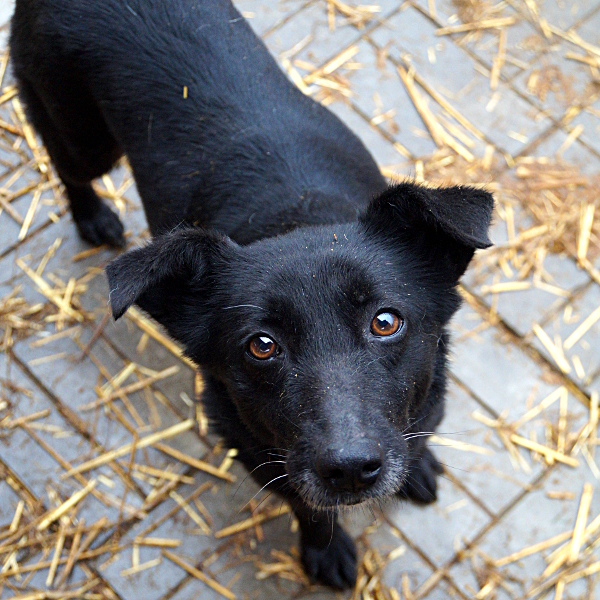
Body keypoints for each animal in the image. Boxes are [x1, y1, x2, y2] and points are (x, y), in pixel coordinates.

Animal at [11, 0, 494, 588]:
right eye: (261, 346)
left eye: (385, 321)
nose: (350, 470)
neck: (299, 214)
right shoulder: (258, 448)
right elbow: (310, 509)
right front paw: (324, 551)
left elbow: (418, 431)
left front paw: (418, 464)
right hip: (82, 137)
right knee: (68, 169)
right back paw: (91, 216)